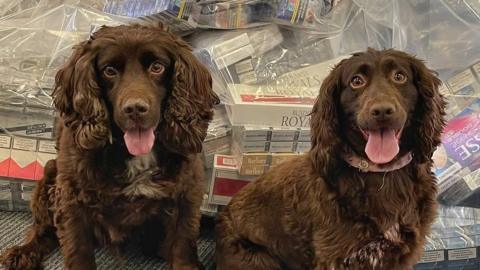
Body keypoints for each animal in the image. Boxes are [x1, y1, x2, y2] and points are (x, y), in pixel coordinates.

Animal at [0, 24, 218, 268]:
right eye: (109, 71)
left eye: (157, 67)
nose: (135, 109)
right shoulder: (71, 196)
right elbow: (77, 248)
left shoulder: (187, 192)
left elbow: (182, 243)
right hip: (49, 176)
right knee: (43, 230)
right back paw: (23, 252)